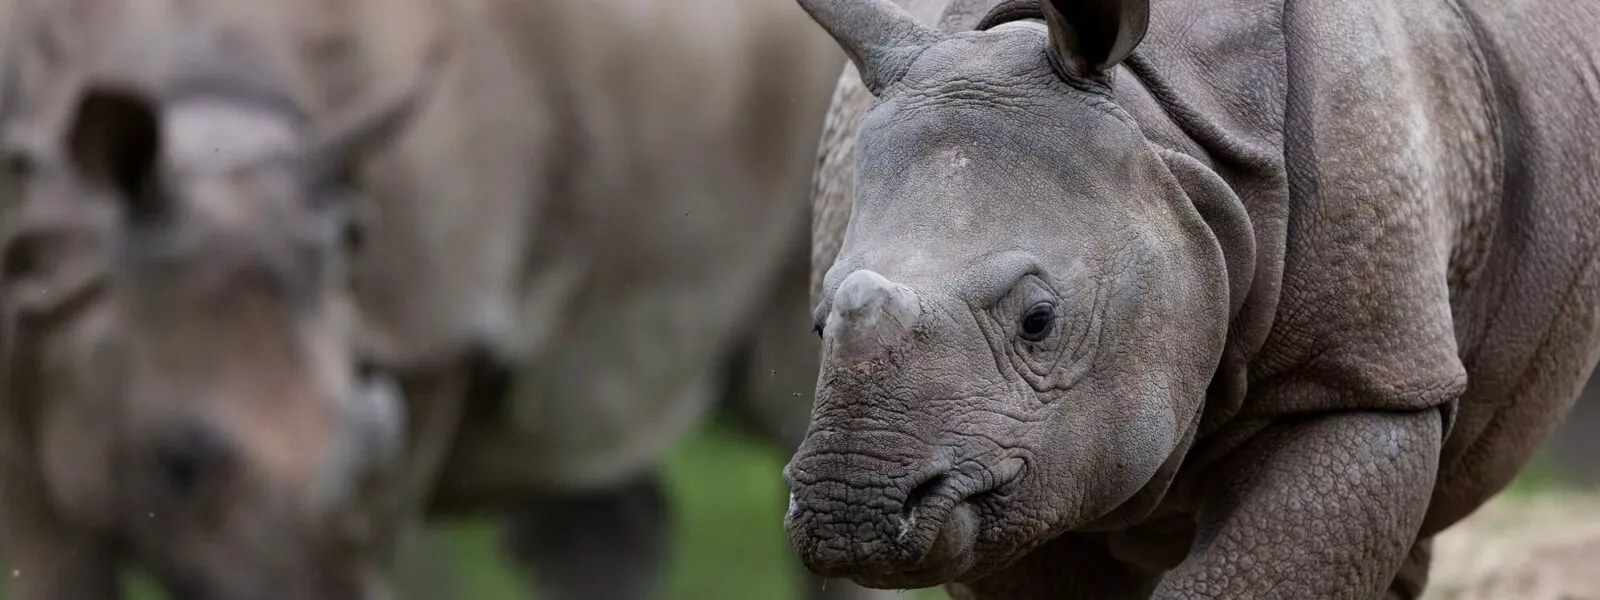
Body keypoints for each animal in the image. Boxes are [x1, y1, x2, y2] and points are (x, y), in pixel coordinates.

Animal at [783, 0, 1600, 598]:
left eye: (1039, 322)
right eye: (818, 325)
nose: (850, 510)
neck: (1169, 139)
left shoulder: (1362, 375)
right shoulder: (1029, 471)